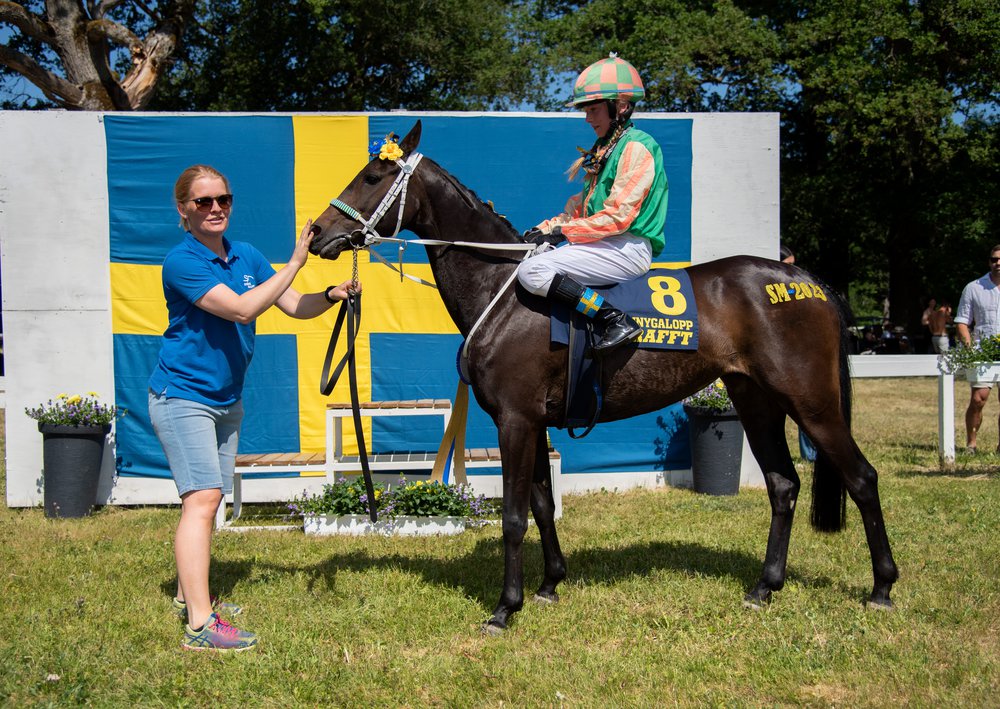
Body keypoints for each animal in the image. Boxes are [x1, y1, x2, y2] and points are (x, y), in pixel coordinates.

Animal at [306, 120, 900, 632]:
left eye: (372, 177)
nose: (317, 233)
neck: (505, 288)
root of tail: (807, 281)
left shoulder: (514, 421)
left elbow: (514, 516)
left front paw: (505, 607)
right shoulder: (533, 421)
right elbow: (542, 506)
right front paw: (549, 585)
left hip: (813, 402)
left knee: (862, 478)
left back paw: (882, 587)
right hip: (756, 400)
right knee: (783, 484)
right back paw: (764, 586)